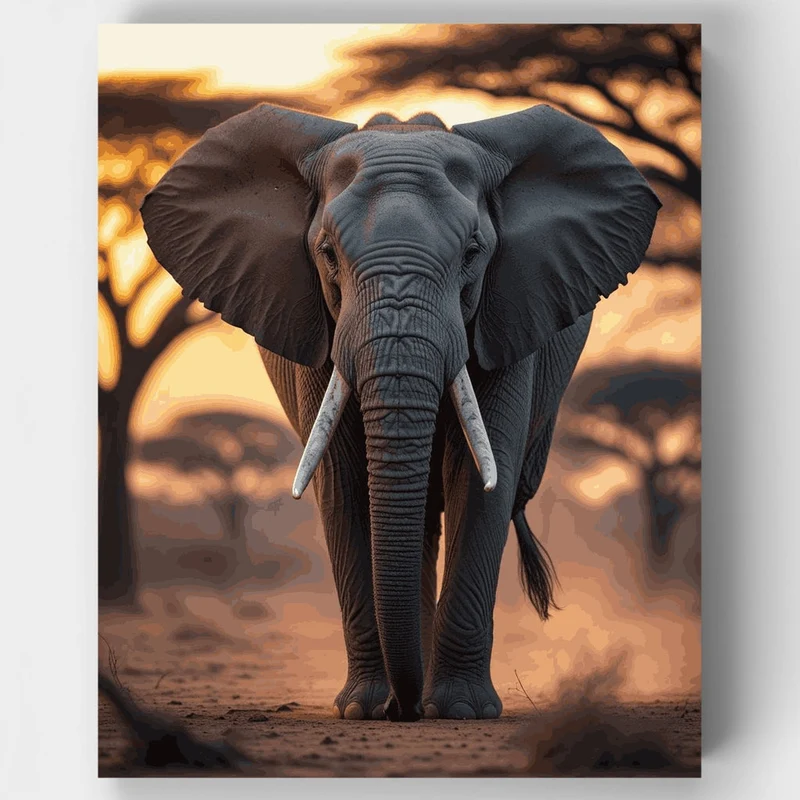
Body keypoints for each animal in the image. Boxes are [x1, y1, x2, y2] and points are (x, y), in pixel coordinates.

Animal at [141, 102, 660, 722]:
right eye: (327, 254)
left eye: (472, 254)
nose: (404, 708)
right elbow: (343, 481)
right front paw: (365, 709)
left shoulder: (506, 315)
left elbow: (480, 479)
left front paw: (460, 711)